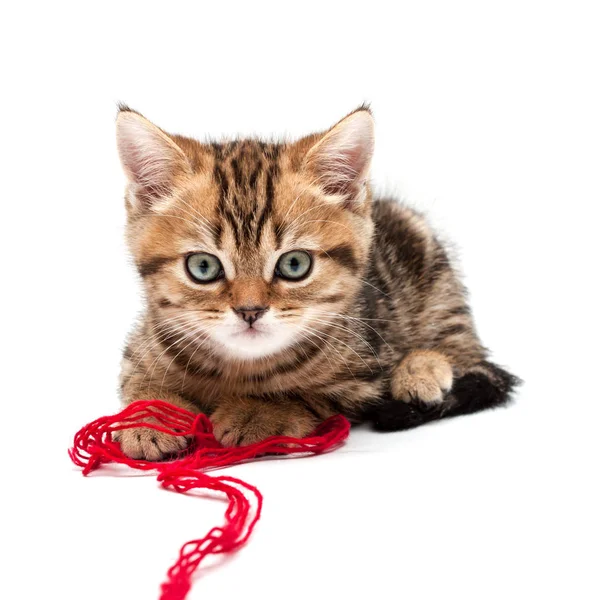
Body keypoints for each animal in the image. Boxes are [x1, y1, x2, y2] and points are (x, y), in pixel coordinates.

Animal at [115, 105, 516, 460]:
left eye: (294, 264)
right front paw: (150, 419)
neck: (240, 367)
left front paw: (255, 412)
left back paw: (422, 369)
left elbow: (305, 394)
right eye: (203, 267)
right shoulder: (140, 351)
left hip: (430, 266)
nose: (250, 311)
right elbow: (137, 384)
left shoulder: (360, 379)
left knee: (465, 349)